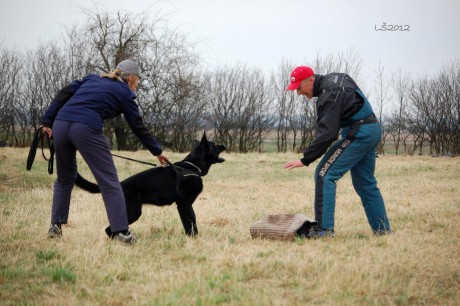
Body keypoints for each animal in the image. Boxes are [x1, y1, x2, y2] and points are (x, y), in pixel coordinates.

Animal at [75, 133, 226, 237]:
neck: (192, 166)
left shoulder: (183, 205)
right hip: (133, 212)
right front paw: (193, 238)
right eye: (214, 145)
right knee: (109, 229)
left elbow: (189, 221)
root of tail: (120, 185)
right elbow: (190, 220)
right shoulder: (184, 203)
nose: (224, 145)